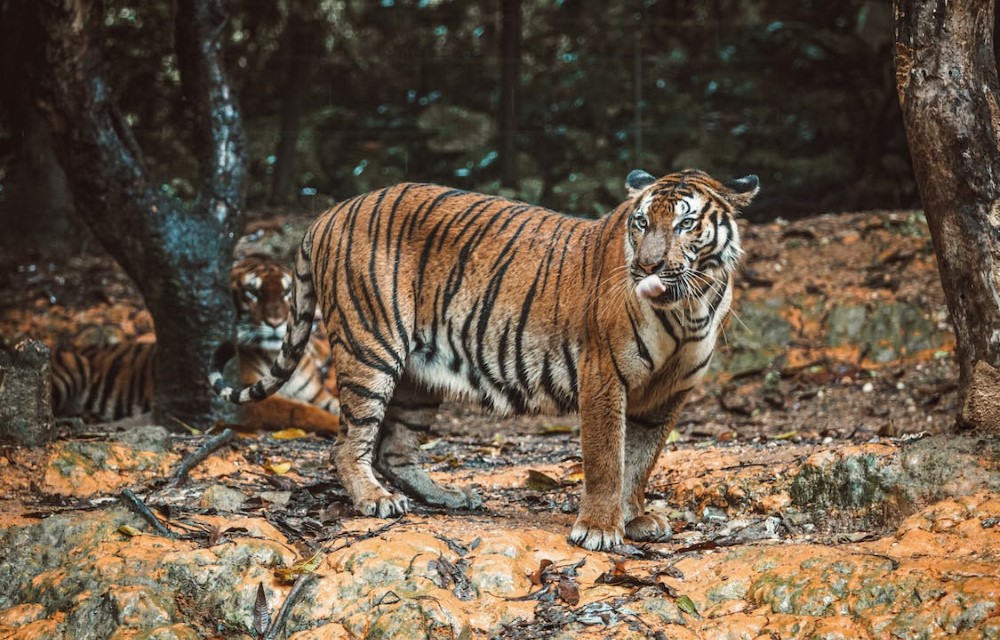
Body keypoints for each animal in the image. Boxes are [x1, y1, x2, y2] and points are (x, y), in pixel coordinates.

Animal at [52, 255, 339, 429]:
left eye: (287, 292)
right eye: (252, 292)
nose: (276, 322)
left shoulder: (316, 394)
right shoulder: (249, 397)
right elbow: (300, 412)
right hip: (71, 369)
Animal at [209, 169, 758, 550]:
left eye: (685, 223)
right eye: (642, 222)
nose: (647, 267)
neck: (689, 307)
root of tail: (331, 212)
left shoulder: (668, 396)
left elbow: (640, 462)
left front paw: (635, 517)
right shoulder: (603, 376)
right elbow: (607, 459)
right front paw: (601, 529)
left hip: (419, 378)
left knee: (395, 450)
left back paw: (448, 497)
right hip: (371, 349)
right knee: (348, 444)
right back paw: (374, 500)